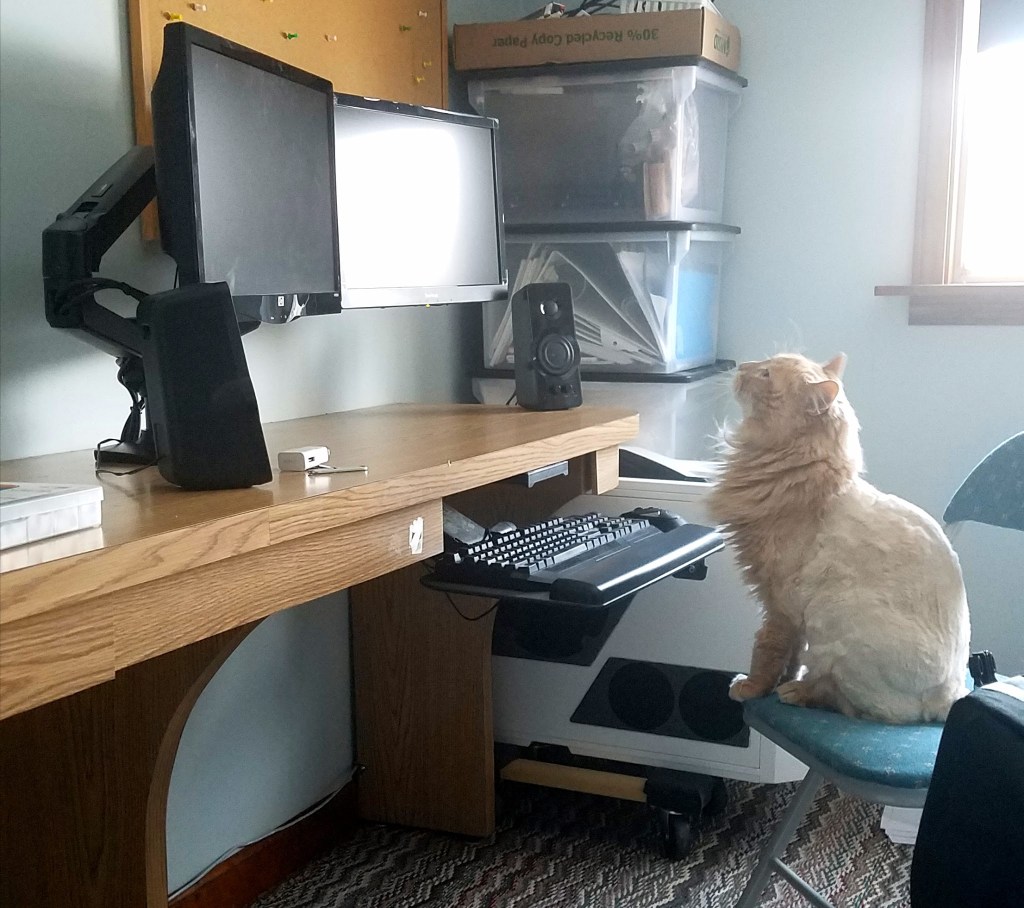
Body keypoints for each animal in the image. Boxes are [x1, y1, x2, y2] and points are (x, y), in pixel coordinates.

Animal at [707, 352, 970, 724]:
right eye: (763, 364)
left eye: (765, 374)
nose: (742, 366)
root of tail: (951, 695)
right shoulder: (789, 614)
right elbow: (791, 654)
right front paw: (780, 679)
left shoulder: (778, 603)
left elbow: (767, 649)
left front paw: (754, 687)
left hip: (836, 620)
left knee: (854, 704)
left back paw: (800, 691)